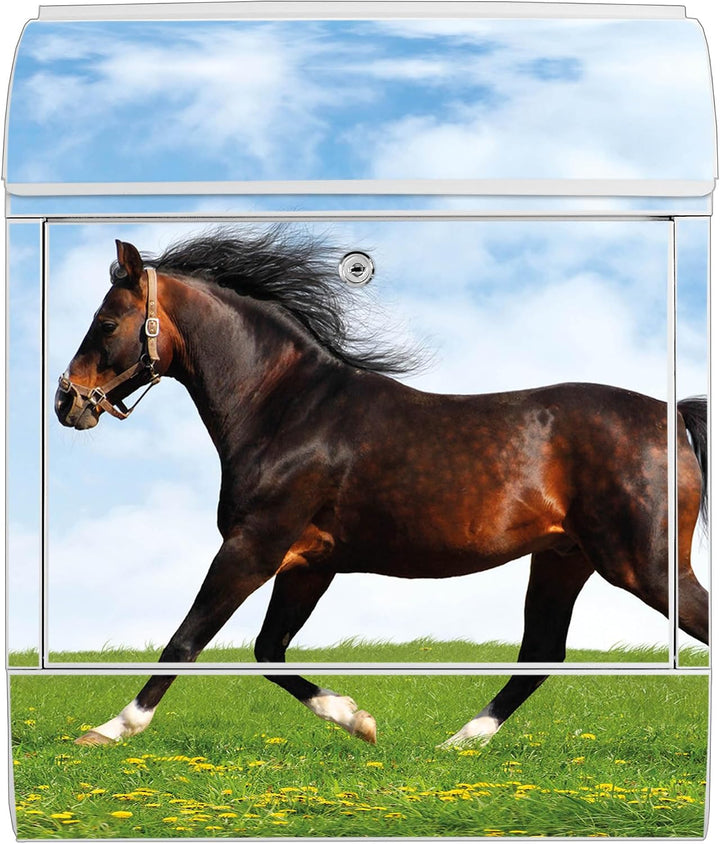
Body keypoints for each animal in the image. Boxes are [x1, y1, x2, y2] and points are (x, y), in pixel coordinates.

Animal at [55, 230, 708, 748]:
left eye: (106, 322)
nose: (67, 402)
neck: (288, 409)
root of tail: (673, 415)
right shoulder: (308, 565)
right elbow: (268, 650)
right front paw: (359, 720)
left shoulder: (253, 548)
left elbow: (185, 642)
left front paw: (109, 730)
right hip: (562, 558)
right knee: (541, 652)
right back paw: (459, 742)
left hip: (643, 567)